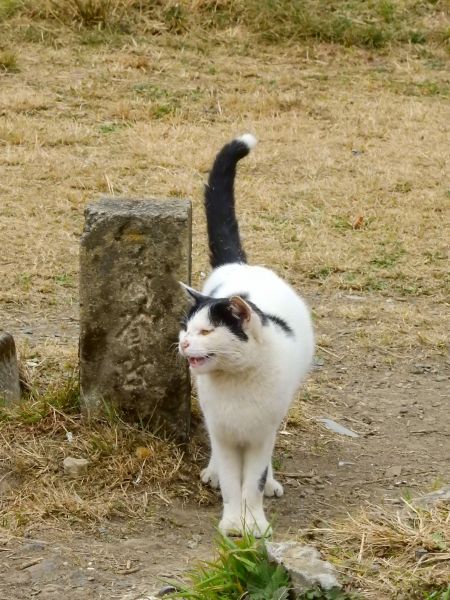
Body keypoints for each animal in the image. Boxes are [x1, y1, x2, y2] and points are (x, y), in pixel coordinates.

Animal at [178, 134, 314, 536]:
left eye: (206, 330)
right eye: (185, 328)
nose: (184, 343)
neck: (236, 380)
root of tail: (242, 264)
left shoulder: (260, 434)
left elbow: (252, 480)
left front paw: (254, 523)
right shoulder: (223, 432)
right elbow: (231, 482)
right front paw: (230, 522)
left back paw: (271, 483)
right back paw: (211, 472)